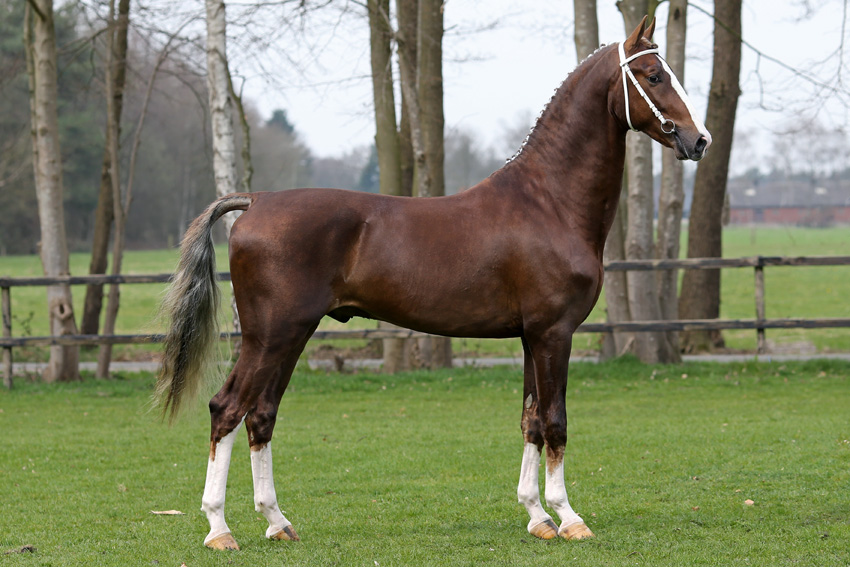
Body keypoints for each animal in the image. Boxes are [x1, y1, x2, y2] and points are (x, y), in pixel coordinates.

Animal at [156, 16, 711, 550]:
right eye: (653, 75)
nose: (699, 140)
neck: (548, 203)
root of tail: (256, 201)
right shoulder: (555, 334)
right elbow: (555, 421)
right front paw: (569, 518)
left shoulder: (531, 337)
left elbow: (530, 421)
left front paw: (537, 517)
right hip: (270, 336)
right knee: (227, 409)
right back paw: (219, 530)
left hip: (289, 336)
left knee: (261, 415)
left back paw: (277, 523)